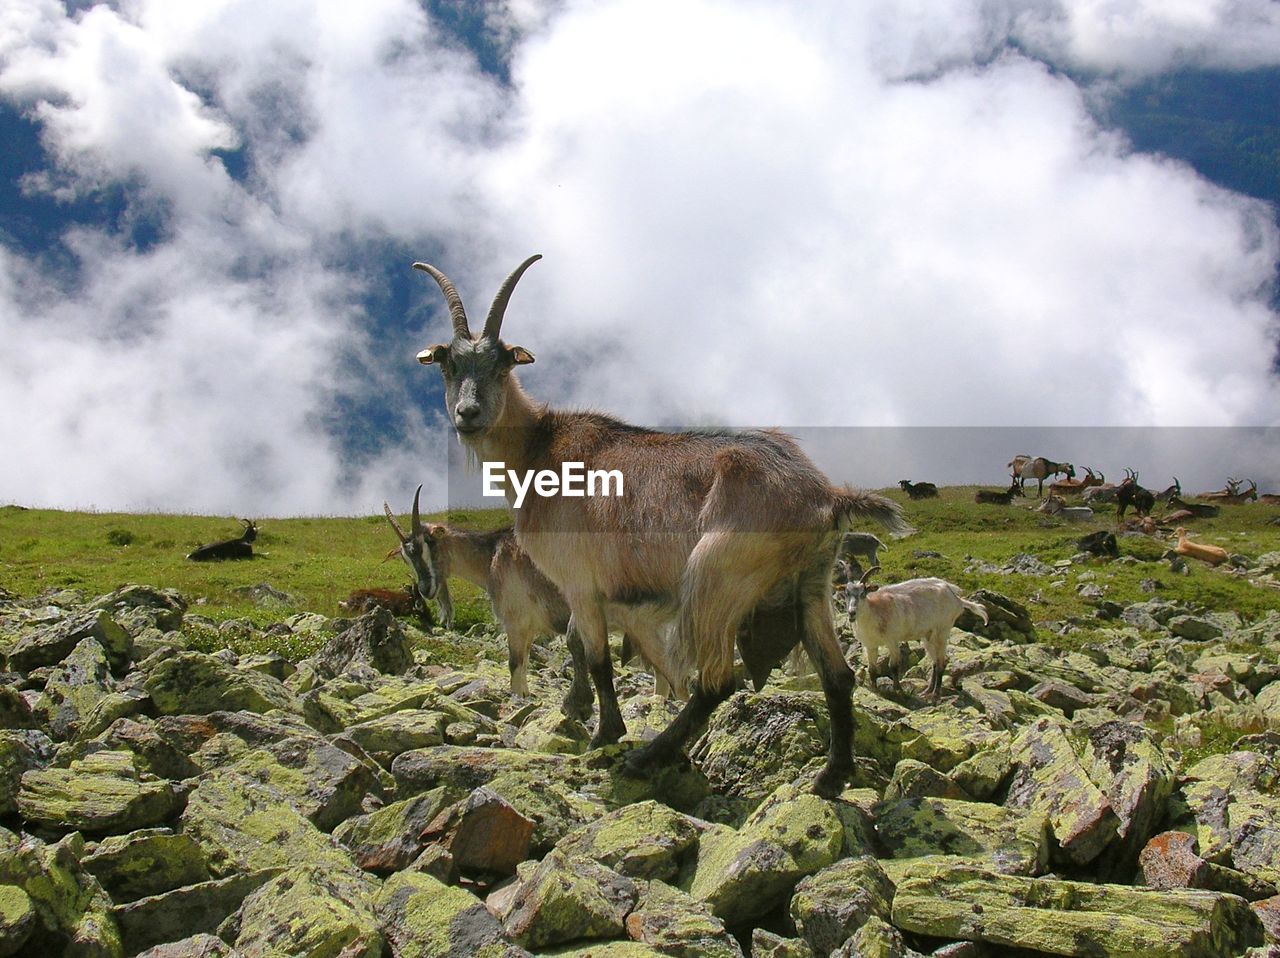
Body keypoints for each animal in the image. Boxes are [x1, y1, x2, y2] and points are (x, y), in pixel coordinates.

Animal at [412, 252, 911, 794]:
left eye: (502, 363)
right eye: (448, 364)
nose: (468, 414)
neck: (539, 449)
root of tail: (826, 495)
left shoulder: (581, 583)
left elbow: (596, 657)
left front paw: (604, 734)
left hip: (717, 578)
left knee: (718, 681)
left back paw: (648, 756)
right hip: (811, 584)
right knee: (837, 677)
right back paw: (830, 777)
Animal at [839, 568, 988, 696]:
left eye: (863, 593)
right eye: (846, 593)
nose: (852, 613)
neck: (875, 610)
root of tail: (957, 599)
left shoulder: (892, 641)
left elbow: (893, 666)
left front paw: (898, 690)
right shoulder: (870, 645)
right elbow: (872, 668)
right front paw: (875, 690)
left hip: (943, 630)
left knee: (941, 662)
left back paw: (935, 694)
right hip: (928, 636)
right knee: (934, 662)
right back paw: (927, 691)